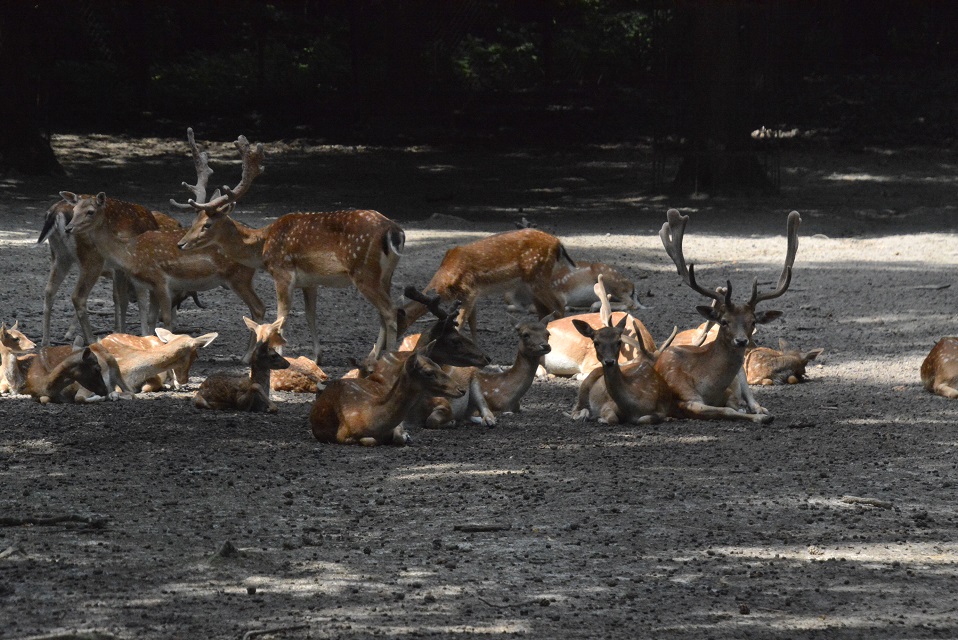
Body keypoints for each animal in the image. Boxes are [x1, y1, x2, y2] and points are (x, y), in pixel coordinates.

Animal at [172, 127, 404, 362]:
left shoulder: (282, 271)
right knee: (384, 313)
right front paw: (316, 356)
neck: (263, 245)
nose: (181, 244)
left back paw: (389, 357)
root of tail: (394, 231)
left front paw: (278, 356)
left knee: (390, 310)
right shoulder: (310, 281)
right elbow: (310, 315)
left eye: (207, 225)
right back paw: (373, 357)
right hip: (385, 275)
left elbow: (281, 317)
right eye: (195, 220)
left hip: (364, 271)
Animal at [400, 228, 576, 342]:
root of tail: (558, 243)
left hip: (538, 277)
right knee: (544, 312)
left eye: (399, 320)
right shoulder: (471, 295)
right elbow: (473, 323)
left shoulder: (470, 290)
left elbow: (461, 322)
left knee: (559, 306)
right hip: (531, 284)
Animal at [656, 208, 808, 422]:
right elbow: (724, 411)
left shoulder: (733, 389)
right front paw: (753, 416)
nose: (741, 341)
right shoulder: (685, 397)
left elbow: (737, 404)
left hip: (743, 372)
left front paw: (756, 412)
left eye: (753, 322)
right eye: (724, 321)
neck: (708, 388)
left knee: (754, 400)